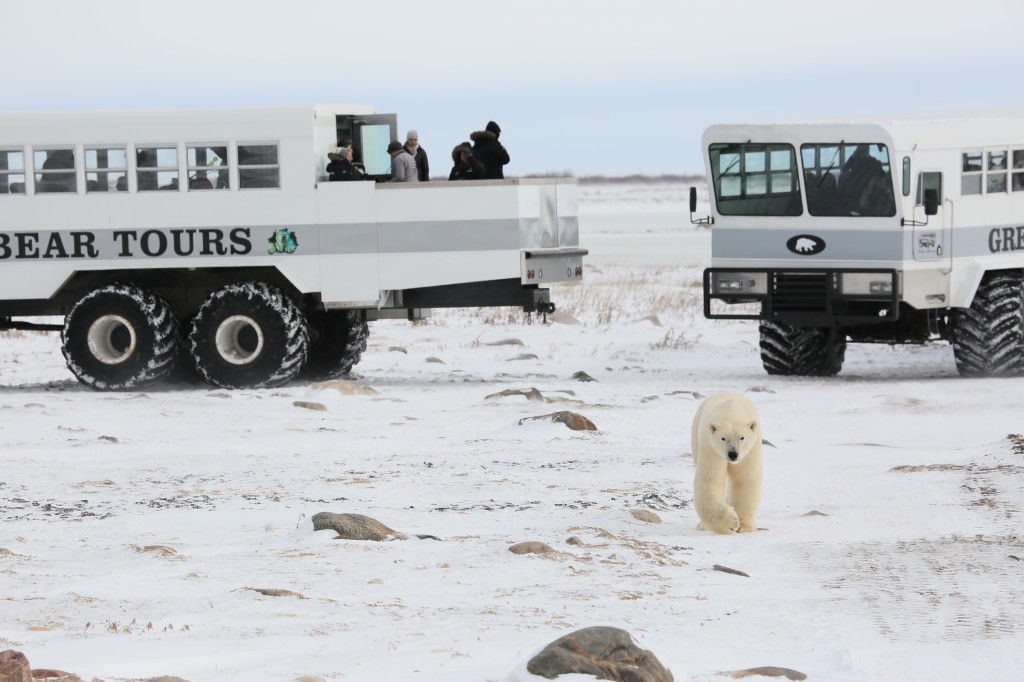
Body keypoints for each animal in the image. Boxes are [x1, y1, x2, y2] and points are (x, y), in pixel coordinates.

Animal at [690, 392, 763, 534]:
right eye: (723, 438)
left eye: (742, 437)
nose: (733, 454)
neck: (730, 412)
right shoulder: (711, 447)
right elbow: (710, 479)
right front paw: (730, 523)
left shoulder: (750, 451)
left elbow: (745, 479)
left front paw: (744, 526)